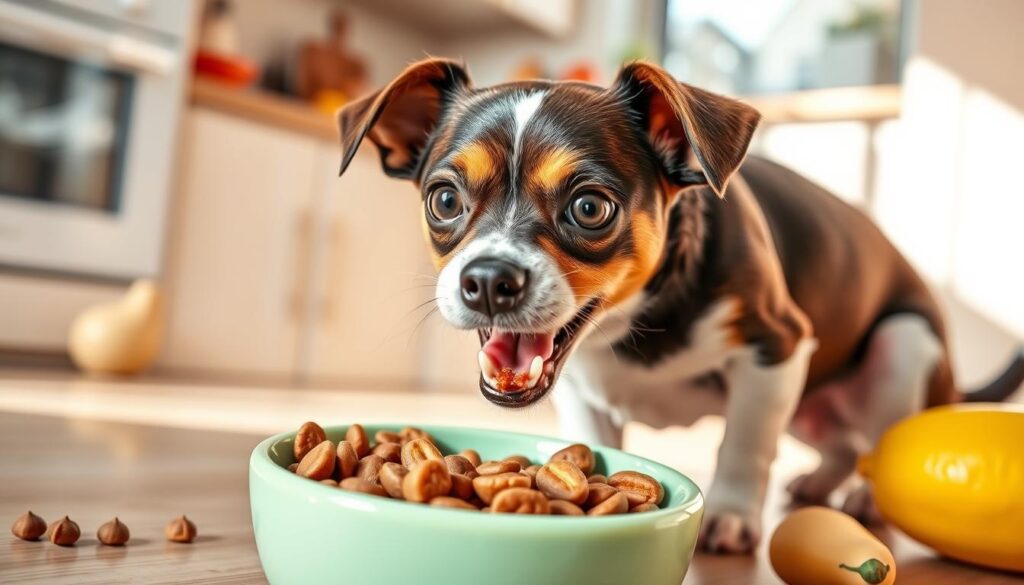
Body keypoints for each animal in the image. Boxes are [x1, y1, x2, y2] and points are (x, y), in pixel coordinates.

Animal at [337, 58, 1024, 553]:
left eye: (590, 207)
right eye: (444, 200)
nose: (485, 280)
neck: (627, 325)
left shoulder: (777, 349)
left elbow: (744, 445)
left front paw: (731, 516)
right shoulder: (586, 395)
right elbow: (590, 443)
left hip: (902, 349)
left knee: (878, 441)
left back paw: (863, 497)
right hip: (810, 404)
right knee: (840, 445)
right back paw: (818, 484)